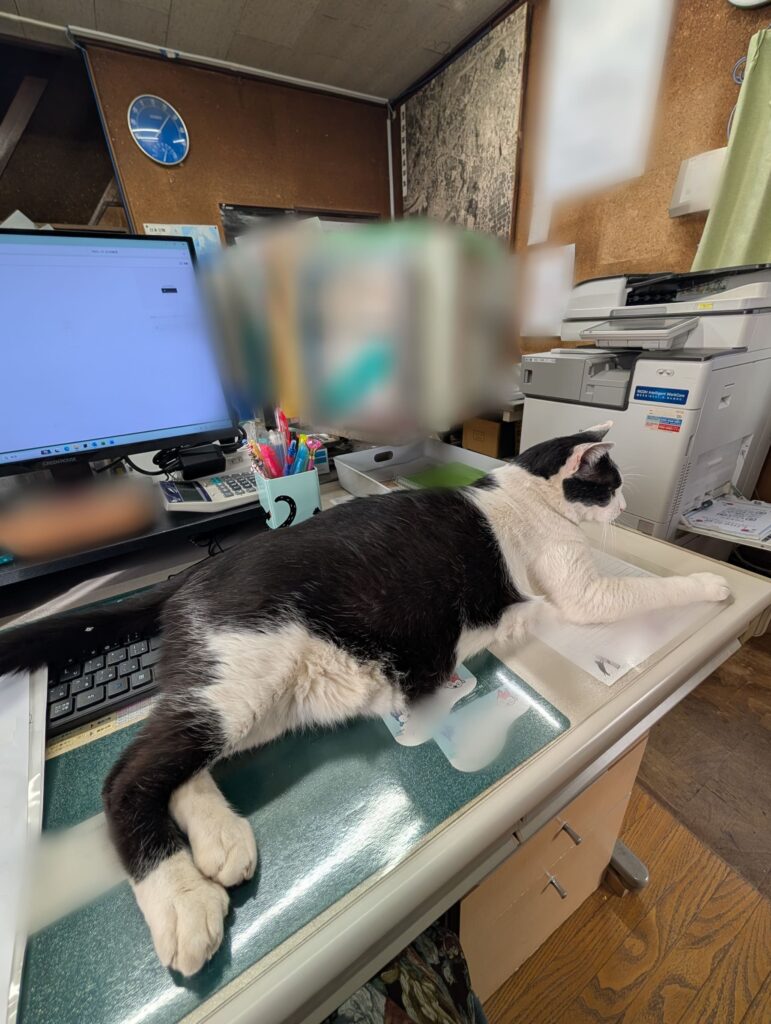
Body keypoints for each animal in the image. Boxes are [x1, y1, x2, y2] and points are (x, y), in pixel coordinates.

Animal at [0, 422, 730, 975]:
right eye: (610, 484)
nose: (624, 506)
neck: (524, 493)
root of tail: (190, 575)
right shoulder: (581, 590)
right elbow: (642, 589)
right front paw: (712, 585)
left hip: (262, 698)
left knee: (179, 761)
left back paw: (220, 841)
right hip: (246, 675)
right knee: (127, 774)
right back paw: (182, 900)